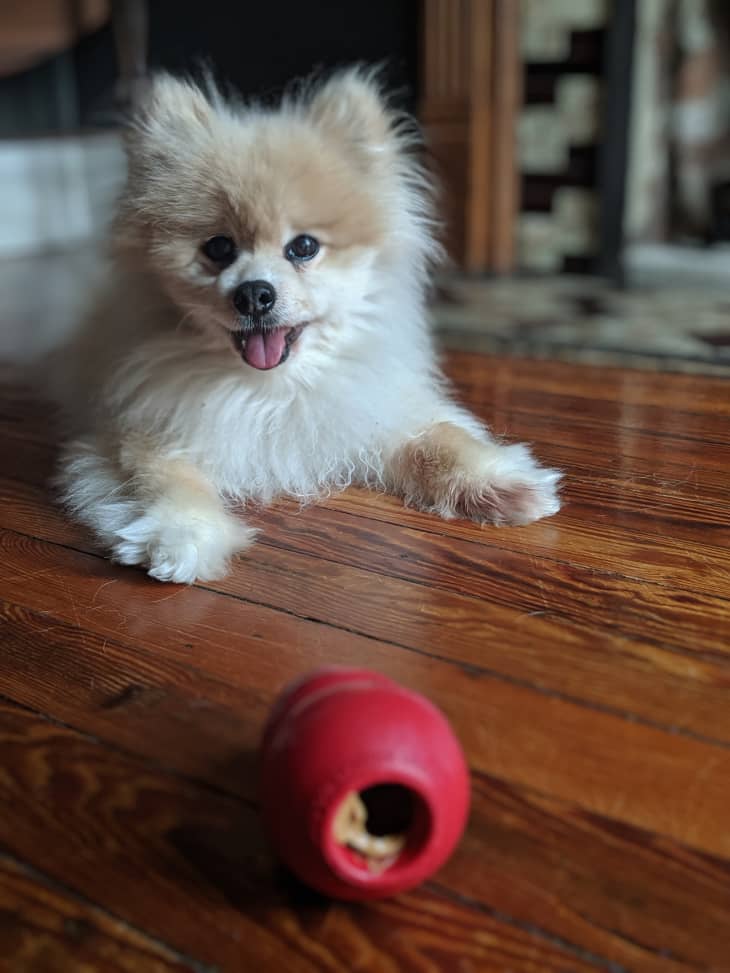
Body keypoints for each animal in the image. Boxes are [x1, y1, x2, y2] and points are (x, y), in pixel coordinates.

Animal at [57, 72, 556, 584]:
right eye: (218, 248)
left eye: (303, 247)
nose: (254, 293)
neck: (275, 391)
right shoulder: (136, 434)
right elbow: (164, 478)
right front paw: (182, 536)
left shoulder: (373, 412)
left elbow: (442, 439)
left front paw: (500, 482)